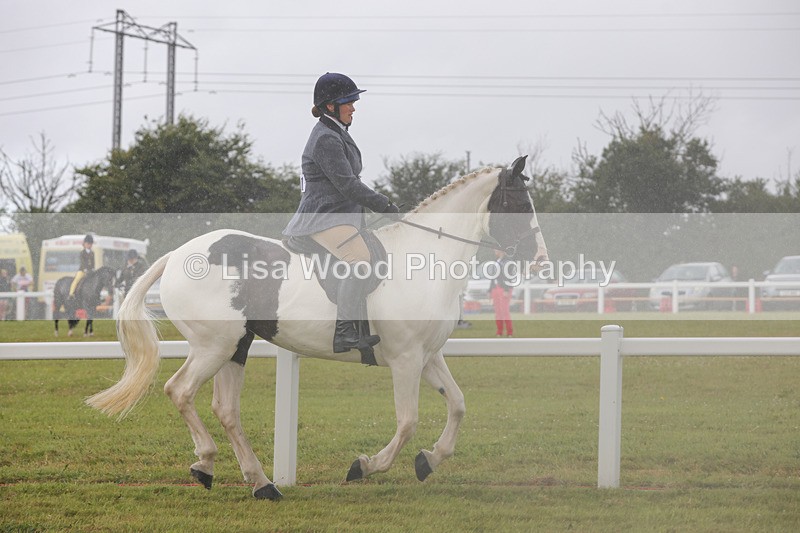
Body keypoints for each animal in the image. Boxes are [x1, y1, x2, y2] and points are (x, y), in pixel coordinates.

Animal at [85, 156, 549, 500]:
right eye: (519, 202)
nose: (540, 260)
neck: (423, 259)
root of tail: (177, 255)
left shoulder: (428, 356)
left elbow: (457, 404)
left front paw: (428, 461)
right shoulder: (405, 360)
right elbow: (407, 421)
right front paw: (365, 466)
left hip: (236, 346)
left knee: (226, 409)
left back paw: (260, 483)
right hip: (213, 345)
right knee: (179, 391)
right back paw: (207, 464)